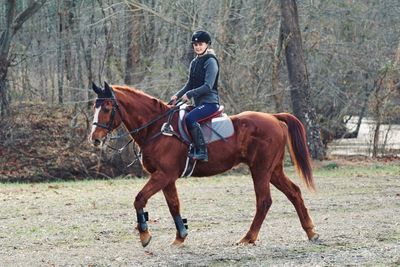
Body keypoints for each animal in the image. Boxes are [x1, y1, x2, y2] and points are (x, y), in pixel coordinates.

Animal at [90, 82, 318, 249]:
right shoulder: (166, 178)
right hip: (273, 170)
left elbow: (139, 199)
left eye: (107, 108)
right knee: (294, 192)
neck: (157, 127)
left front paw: (145, 235)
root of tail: (273, 117)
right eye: (95, 107)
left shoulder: (163, 175)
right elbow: (174, 205)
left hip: (260, 170)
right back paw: (311, 232)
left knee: (264, 201)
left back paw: (248, 238)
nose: (95, 139)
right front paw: (180, 236)